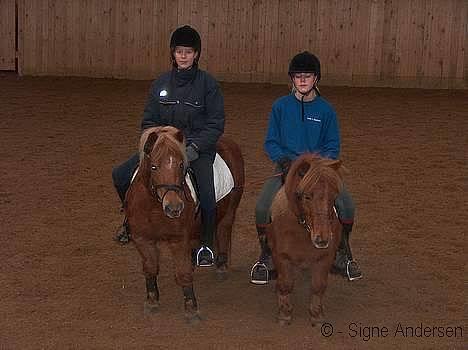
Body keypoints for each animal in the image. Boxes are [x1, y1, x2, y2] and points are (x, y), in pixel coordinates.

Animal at [124, 126, 245, 322]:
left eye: (182, 165)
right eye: (153, 167)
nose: (174, 207)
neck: (153, 206)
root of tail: (226, 141)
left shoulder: (178, 239)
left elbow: (183, 272)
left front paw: (191, 309)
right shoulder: (142, 239)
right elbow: (150, 268)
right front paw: (152, 301)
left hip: (230, 210)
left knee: (223, 231)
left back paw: (220, 266)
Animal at [266, 154, 344, 326]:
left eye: (334, 196)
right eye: (307, 196)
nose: (322, 239)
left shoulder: (325, 257)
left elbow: (318, 285)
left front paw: (317, 315)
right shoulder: (281, 256)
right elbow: (286, 284)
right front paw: (284, 314)